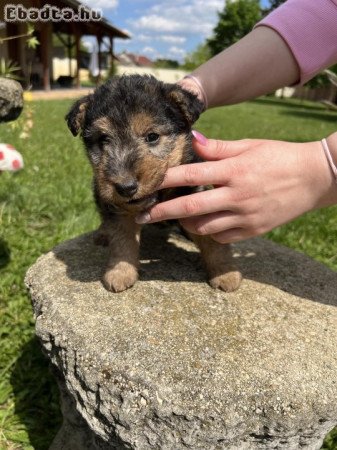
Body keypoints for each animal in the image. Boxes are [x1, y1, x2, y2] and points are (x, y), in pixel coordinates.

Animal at [65, 74, 240, 292]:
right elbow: (122, 241)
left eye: (152, 136)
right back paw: (103, 234)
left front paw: (225, 273)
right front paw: (120, 272)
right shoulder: (119, 211)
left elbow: (214, 243)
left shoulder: (200, 197)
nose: (126, 187)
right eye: (103, 139)